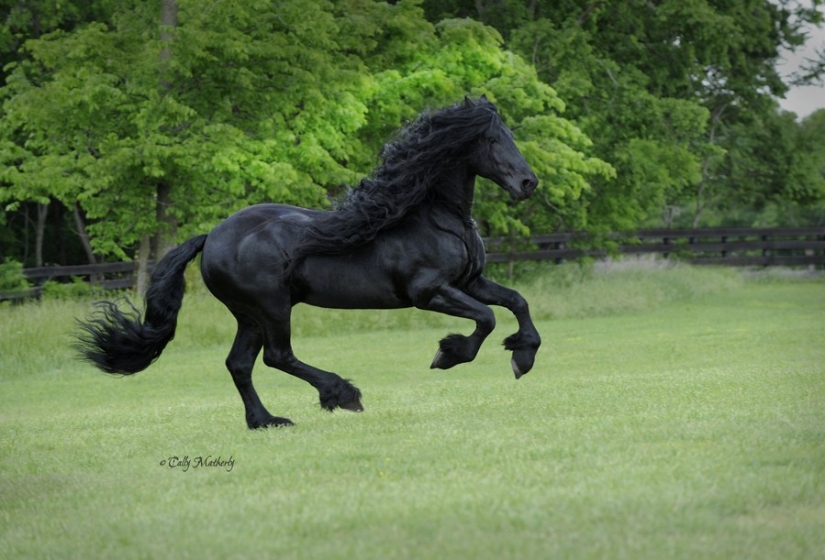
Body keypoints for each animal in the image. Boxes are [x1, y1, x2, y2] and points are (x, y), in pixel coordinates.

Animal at [76, 96, 542, 429]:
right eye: (492, 140)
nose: (528, 183)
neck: (434, 217)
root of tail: (213, 236)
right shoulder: (429, 293)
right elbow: (486, 319)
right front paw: (448, 354)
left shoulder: (471, 281)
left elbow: (516, 302)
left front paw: (523, 357)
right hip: (272, 308)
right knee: (277, 357)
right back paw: (342, 394)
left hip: (249, 316)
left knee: (239, 363)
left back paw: (265, 421)